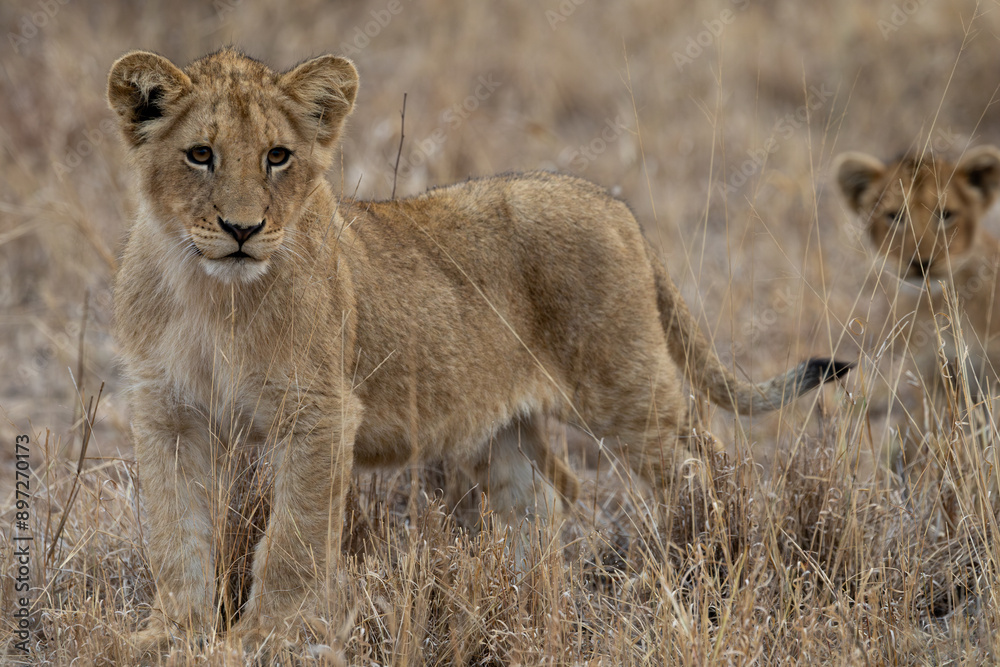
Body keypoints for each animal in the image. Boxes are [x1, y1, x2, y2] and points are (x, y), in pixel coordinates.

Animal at [108, 47, 850, 656]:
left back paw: (711, 568)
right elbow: (174, 531)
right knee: (547, 495)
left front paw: (258, 638)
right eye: (200, 154)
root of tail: (615, 207)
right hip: (499, 424)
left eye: (277, 156)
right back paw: (528, 605)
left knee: (708, 465)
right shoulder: (166, 413)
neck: (211, 295)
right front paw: (169, 634)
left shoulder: (318, 413)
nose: (242, 229)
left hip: (623, 387)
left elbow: (291, 538)